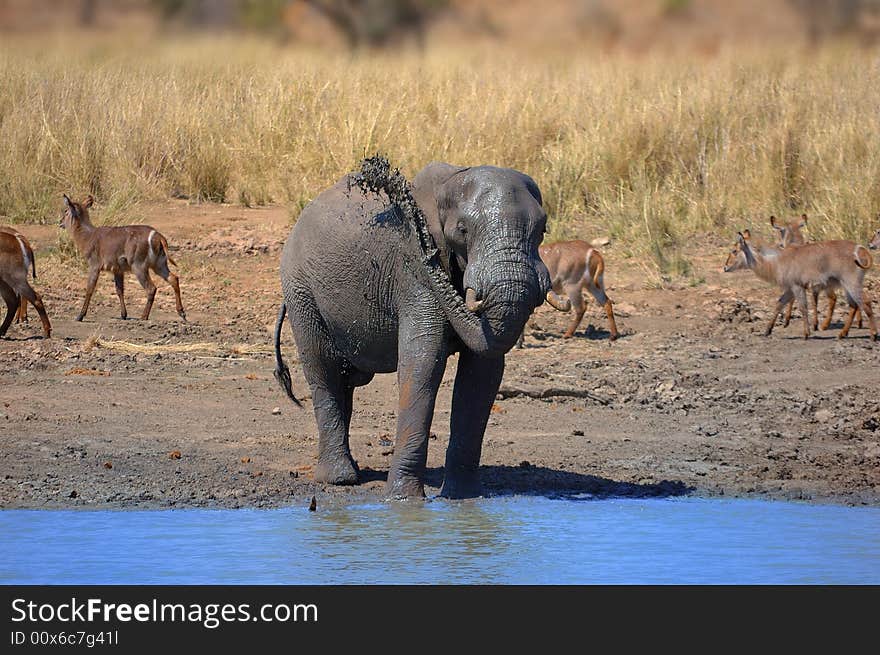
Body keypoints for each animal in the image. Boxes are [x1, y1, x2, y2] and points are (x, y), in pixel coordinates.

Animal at [272, 159, 552, 502]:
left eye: (542, 230)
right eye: (462, 230)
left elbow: (481, 377)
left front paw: (464, 499)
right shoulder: (412, 274)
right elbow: (422, 364)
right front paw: (404, 502)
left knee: (344, 381)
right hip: (300, 290)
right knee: (323, 373)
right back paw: (339, 479)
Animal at [720, 231, 872, 340]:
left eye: (734, 251)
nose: (725, 267)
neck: (777, 261)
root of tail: (860, 249)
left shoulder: (797, 287)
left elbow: (803, 307)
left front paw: (806, 334)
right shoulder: (790, 289)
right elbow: (779, 304)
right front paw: (767, 330)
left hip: (850, 283)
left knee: (862, 302)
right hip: (846, 286)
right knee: (854, 305)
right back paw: (843, 334)